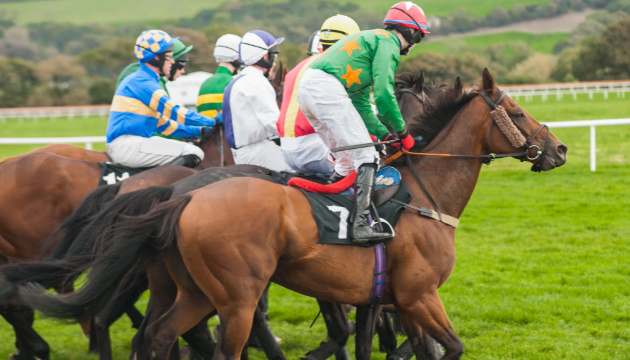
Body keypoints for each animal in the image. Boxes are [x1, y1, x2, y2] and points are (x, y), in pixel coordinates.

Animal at [22, 68, 572, 360]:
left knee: (154, 335)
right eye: (517, 112)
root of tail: (180, 197)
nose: (560, 148)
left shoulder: (389, 297)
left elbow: (378, 342)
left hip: (186, 288)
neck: (423, 194)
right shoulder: (418, 295)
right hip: (236, 296)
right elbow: (442, 347)